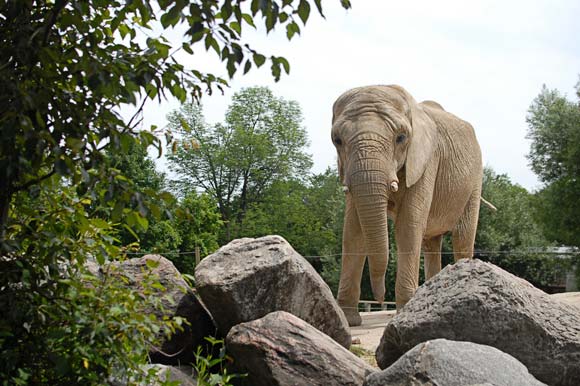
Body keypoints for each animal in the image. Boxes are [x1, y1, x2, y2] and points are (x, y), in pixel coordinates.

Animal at [334, 85, 482, 326]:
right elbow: (353, 233)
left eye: (401, 138)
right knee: (431, 243)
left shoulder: (426, 161)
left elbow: (408, 226)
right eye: (337, 140)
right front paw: (348, 321)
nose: (380, 298)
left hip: (475, 179)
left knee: (462, 237)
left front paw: (403, 315)